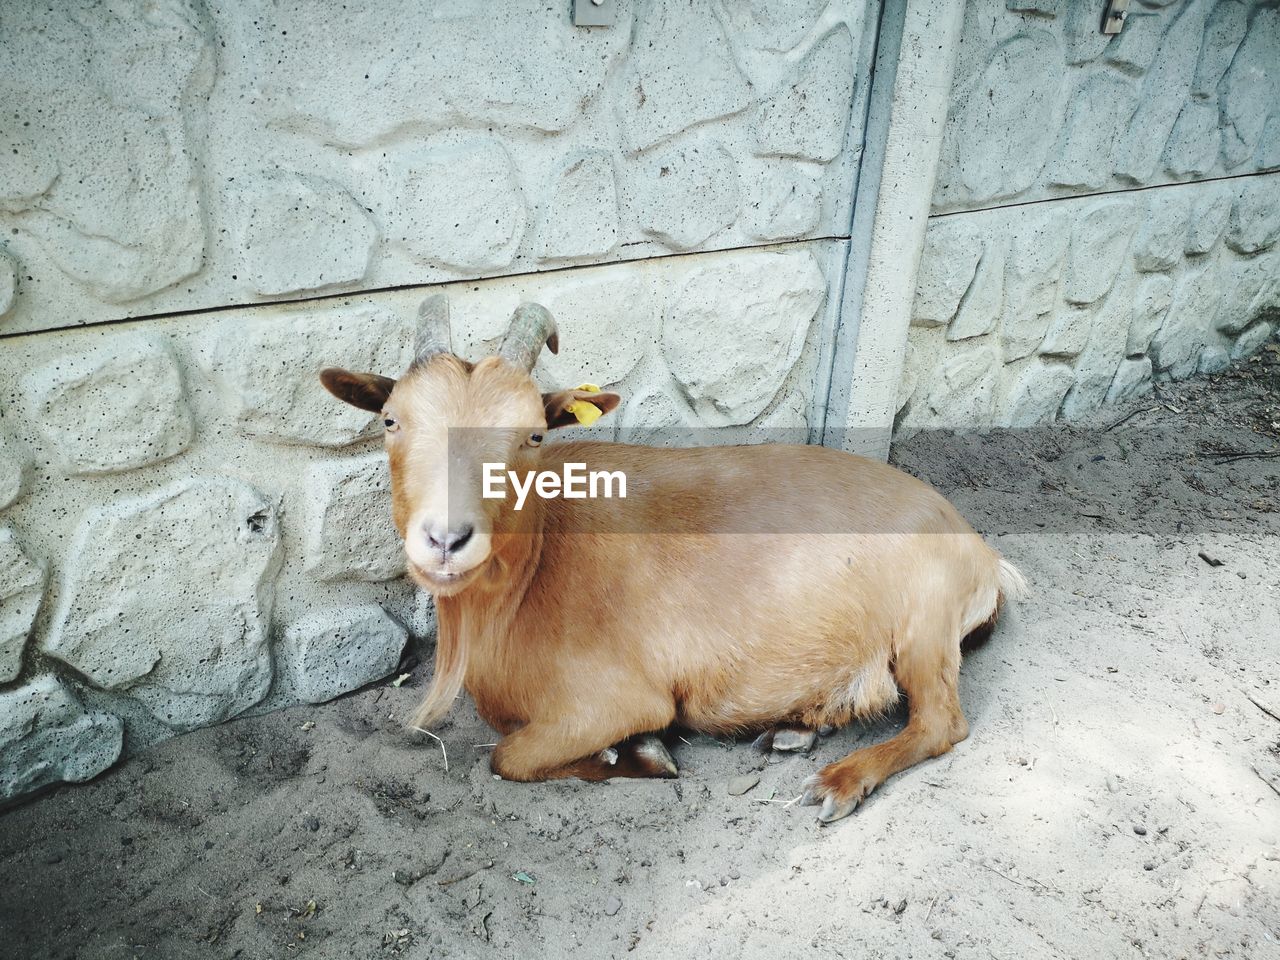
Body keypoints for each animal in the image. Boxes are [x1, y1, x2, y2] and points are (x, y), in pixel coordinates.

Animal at [322, 296, 1029, 824]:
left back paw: (839, 780)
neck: (531, 577)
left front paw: (639, 756)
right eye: (391, 420)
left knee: (941, 722)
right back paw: (798, 728)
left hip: (923, 624)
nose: (445, 539)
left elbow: (509, 758)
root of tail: (983, 554)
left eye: (533, 435)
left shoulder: (616, 699)